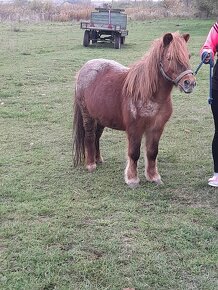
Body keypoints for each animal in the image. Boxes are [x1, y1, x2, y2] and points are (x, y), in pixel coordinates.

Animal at [73, 31, 196, 186]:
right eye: (170, 57)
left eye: (189, 56)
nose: (189, 83)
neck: (149, 94)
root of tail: (83, 69)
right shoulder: (134, 129)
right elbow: (134, 153)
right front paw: (132, 179)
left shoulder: (156, 128)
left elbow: (152, 152)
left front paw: (153, 177)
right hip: (88, 115)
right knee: (89, 136)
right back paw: (90, 164)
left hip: (100, 118)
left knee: (96, 136)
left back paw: (98, 159)